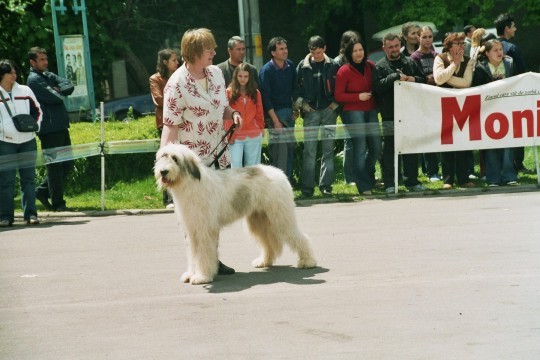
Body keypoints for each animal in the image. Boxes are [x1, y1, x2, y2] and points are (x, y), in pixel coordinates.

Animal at [154, 143, 316, 284]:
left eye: (175, 158)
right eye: (163, 156)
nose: (163, 171)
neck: (189, 184)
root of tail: (279, 172)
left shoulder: (205, 230)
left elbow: (204, 254)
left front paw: (202, 277)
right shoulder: (192, 230)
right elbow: (193, 254)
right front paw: (190, 274)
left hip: (281, 216)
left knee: (300, 237)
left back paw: (308, 261)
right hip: (259, 220)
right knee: (268, 242)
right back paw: (264, 261)